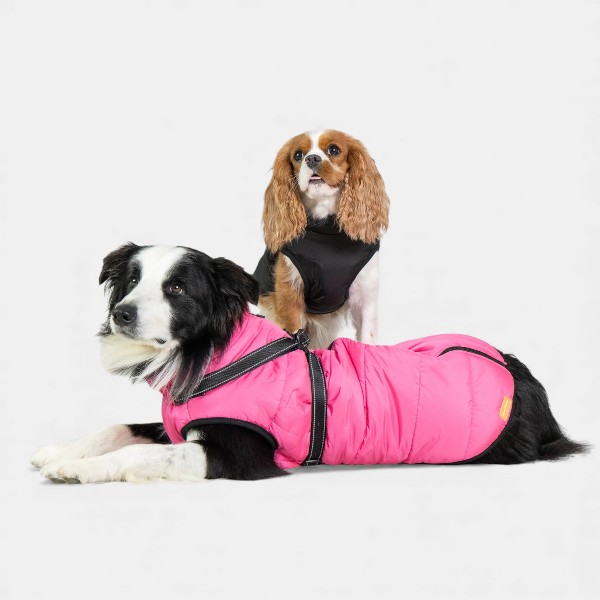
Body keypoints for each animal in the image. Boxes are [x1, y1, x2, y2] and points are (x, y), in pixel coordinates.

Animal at [31, 244, 586, 483]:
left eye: (177, 289)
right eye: (131, 281)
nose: (121, 313)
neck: (214, 353)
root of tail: (522, 373)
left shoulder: (240, 451)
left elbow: (140, 454)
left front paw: (78, 469)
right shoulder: (180, 425)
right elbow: (121, 428)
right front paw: (60, 452)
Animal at [253, 130, 390, 349]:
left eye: (334, 150)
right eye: (298, 155)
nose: (312, 159)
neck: (325, 228)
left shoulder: (365, 296)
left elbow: (367, 340)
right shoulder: (289, 295)